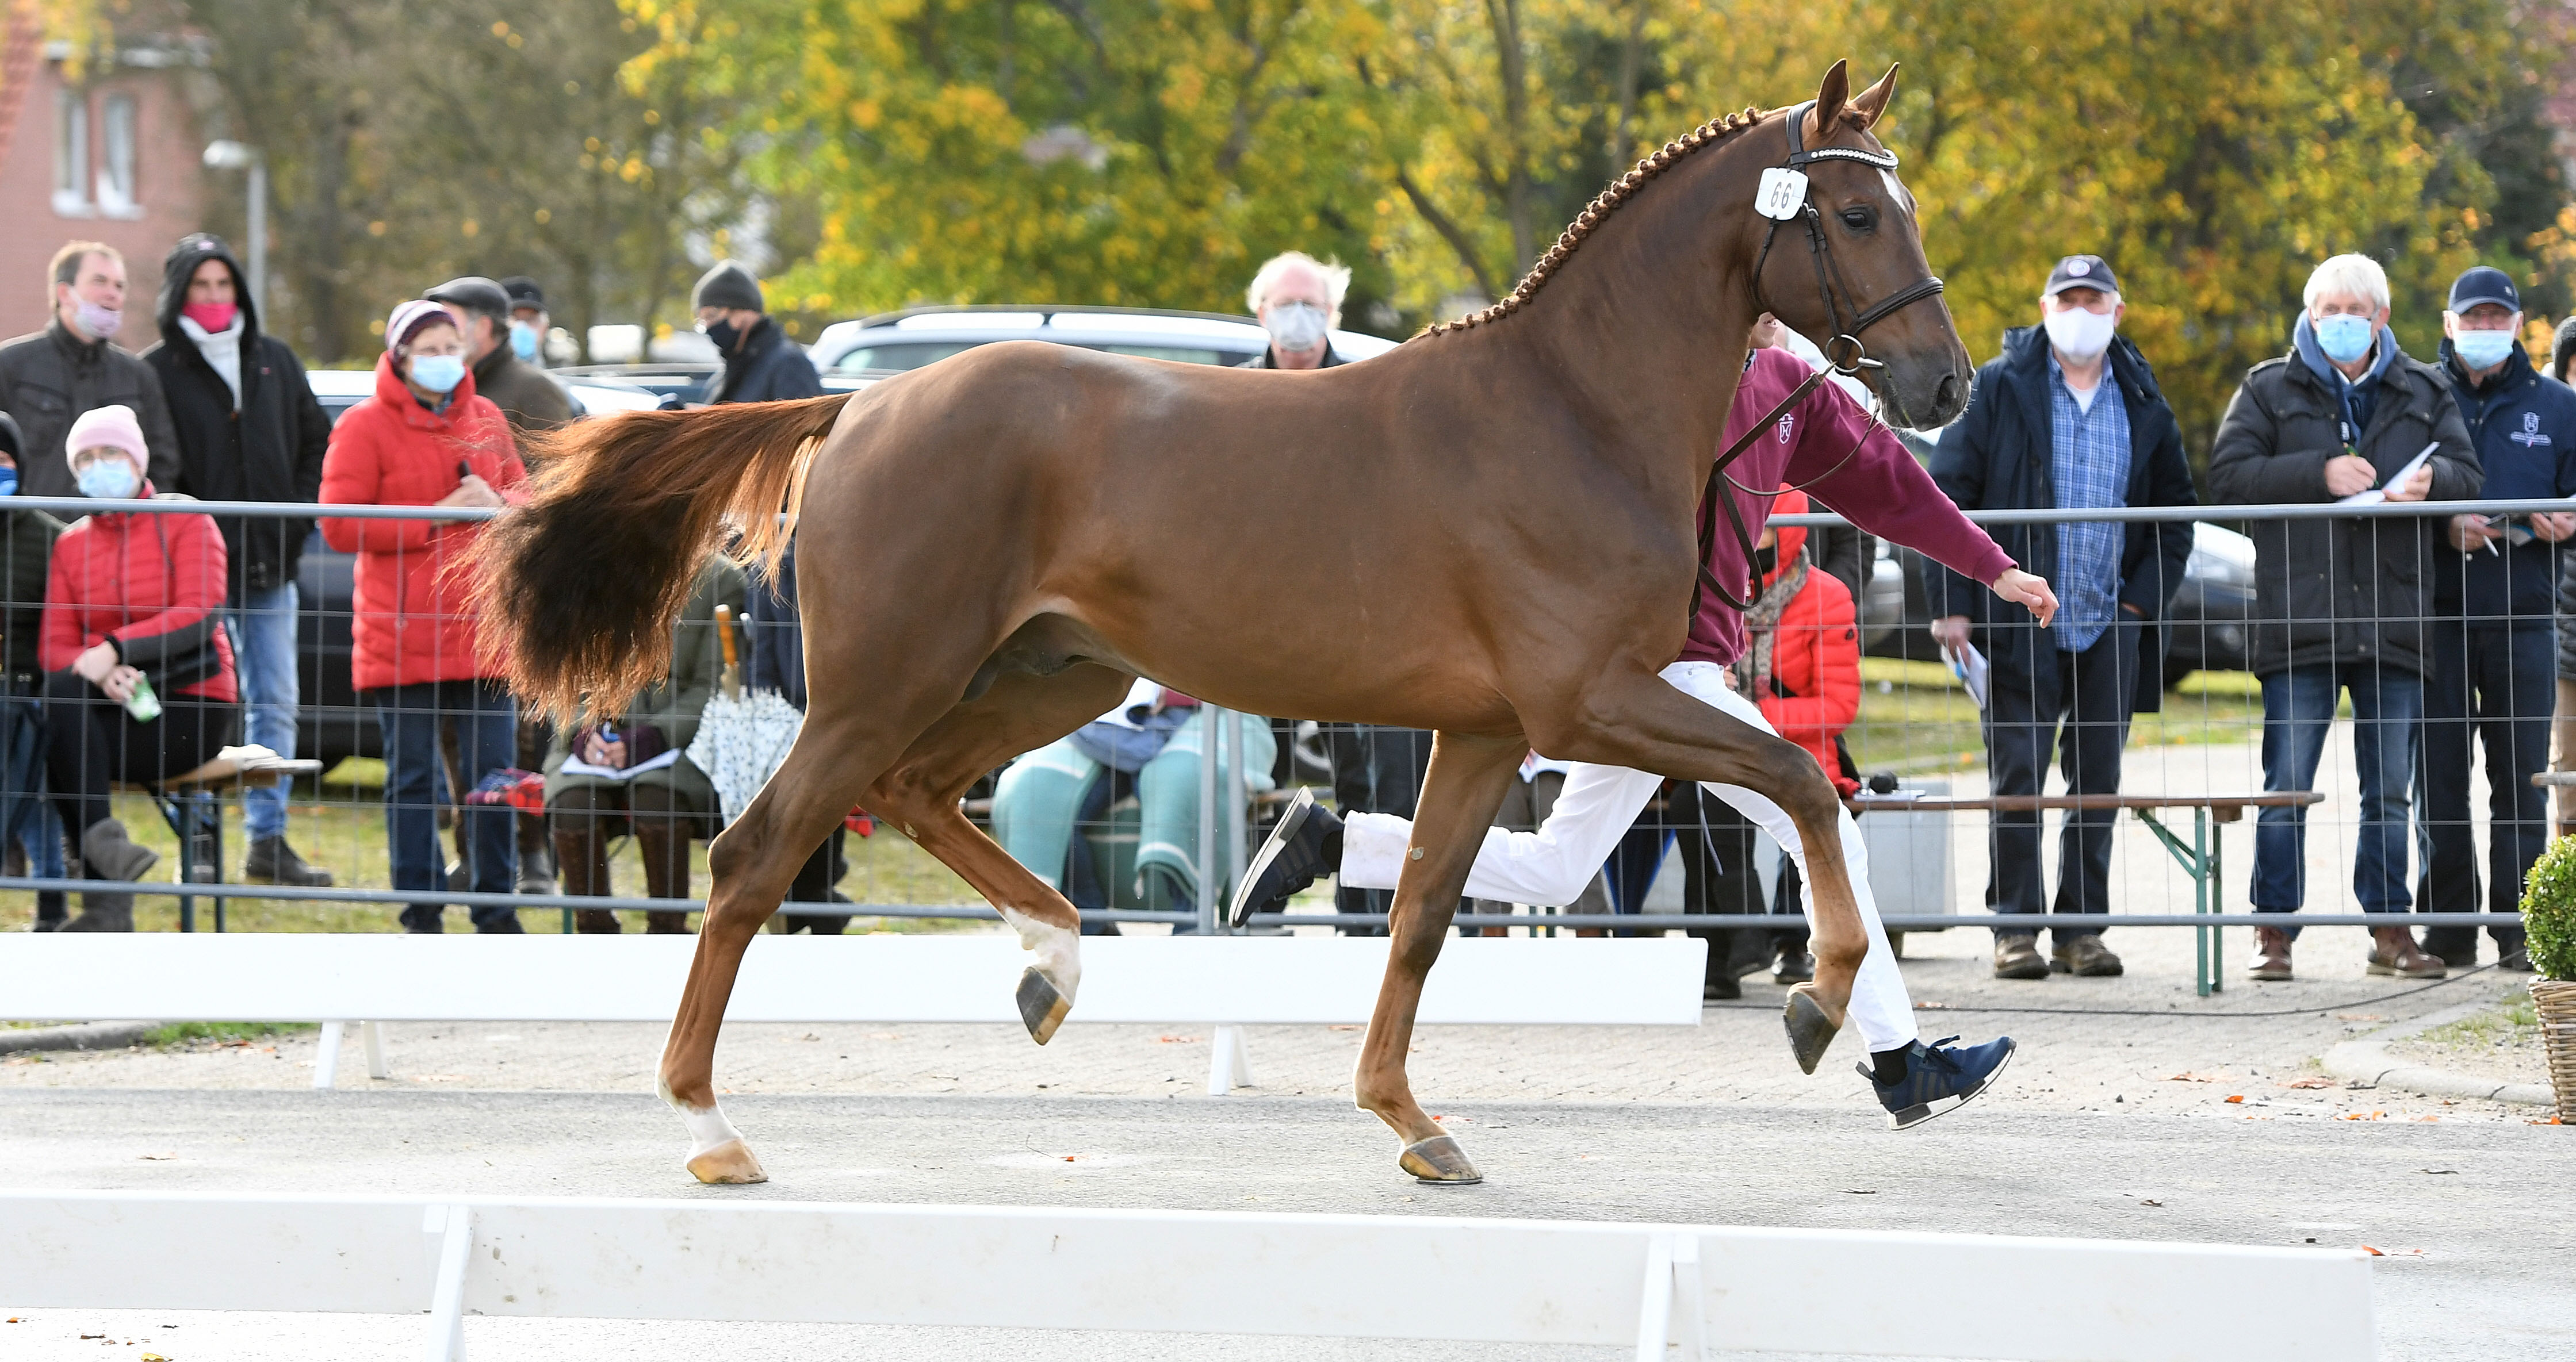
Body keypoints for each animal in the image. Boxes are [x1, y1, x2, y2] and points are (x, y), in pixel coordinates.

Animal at [484, 61, 1968, 1179]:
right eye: (1848, 212)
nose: (1943, 382)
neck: (1568, 411)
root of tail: (860, 405)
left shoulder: (1488, 732)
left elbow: (1419, 909)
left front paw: (1412, 1122)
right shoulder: (1588, 700)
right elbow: (1799, 781)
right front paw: (1815, 1000)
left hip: (1050, 677)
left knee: (915, 795)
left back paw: (1051, 965)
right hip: (881, 684)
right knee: (755, 855)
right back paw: (710, 1124)